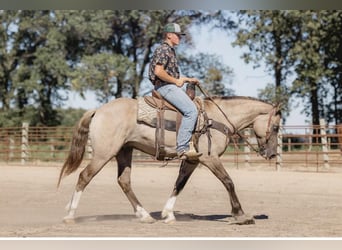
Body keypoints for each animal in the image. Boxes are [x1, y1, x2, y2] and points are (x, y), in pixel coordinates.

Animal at [58, 95, 280, 225]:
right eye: (277, 127)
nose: (271, 154)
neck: (216, 118)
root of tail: (98, 110)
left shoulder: (193, 160)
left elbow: (179, 184)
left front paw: (168, 214)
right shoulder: (210, 158)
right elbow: (228, 182)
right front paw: (240, 215)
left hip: (124, 151)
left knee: (124, 181)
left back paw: (145, 215)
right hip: (104, 153)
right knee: (84, 176)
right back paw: (70, 215)